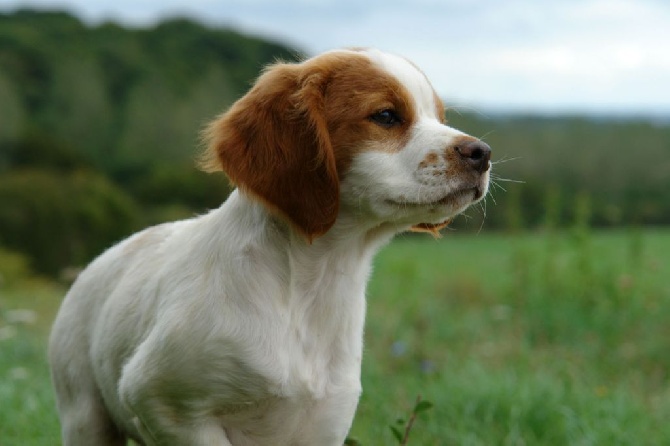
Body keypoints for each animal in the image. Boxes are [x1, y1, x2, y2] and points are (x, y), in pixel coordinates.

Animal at [46, 47, 488, 444]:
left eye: (440, 118)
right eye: (385, 116)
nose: (481, 153)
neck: (313, 283)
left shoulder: (325, 420)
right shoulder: (163, 400)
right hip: (84, 414)